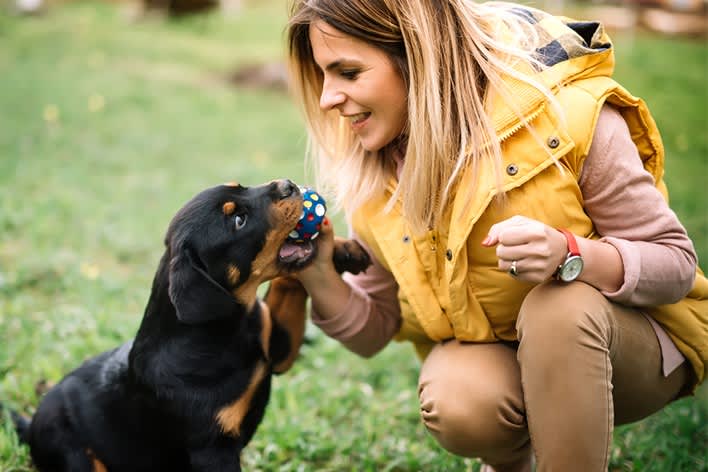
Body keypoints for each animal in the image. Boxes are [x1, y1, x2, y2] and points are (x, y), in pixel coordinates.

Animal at [9, 179, 370, 470]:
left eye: (241, 187)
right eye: (238, 220)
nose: (289, 185)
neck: (225, 329)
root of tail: (31, 424)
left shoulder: (278, 349)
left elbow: (290, 281)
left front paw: (342, 250)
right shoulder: (213, 450)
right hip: (75, 453)